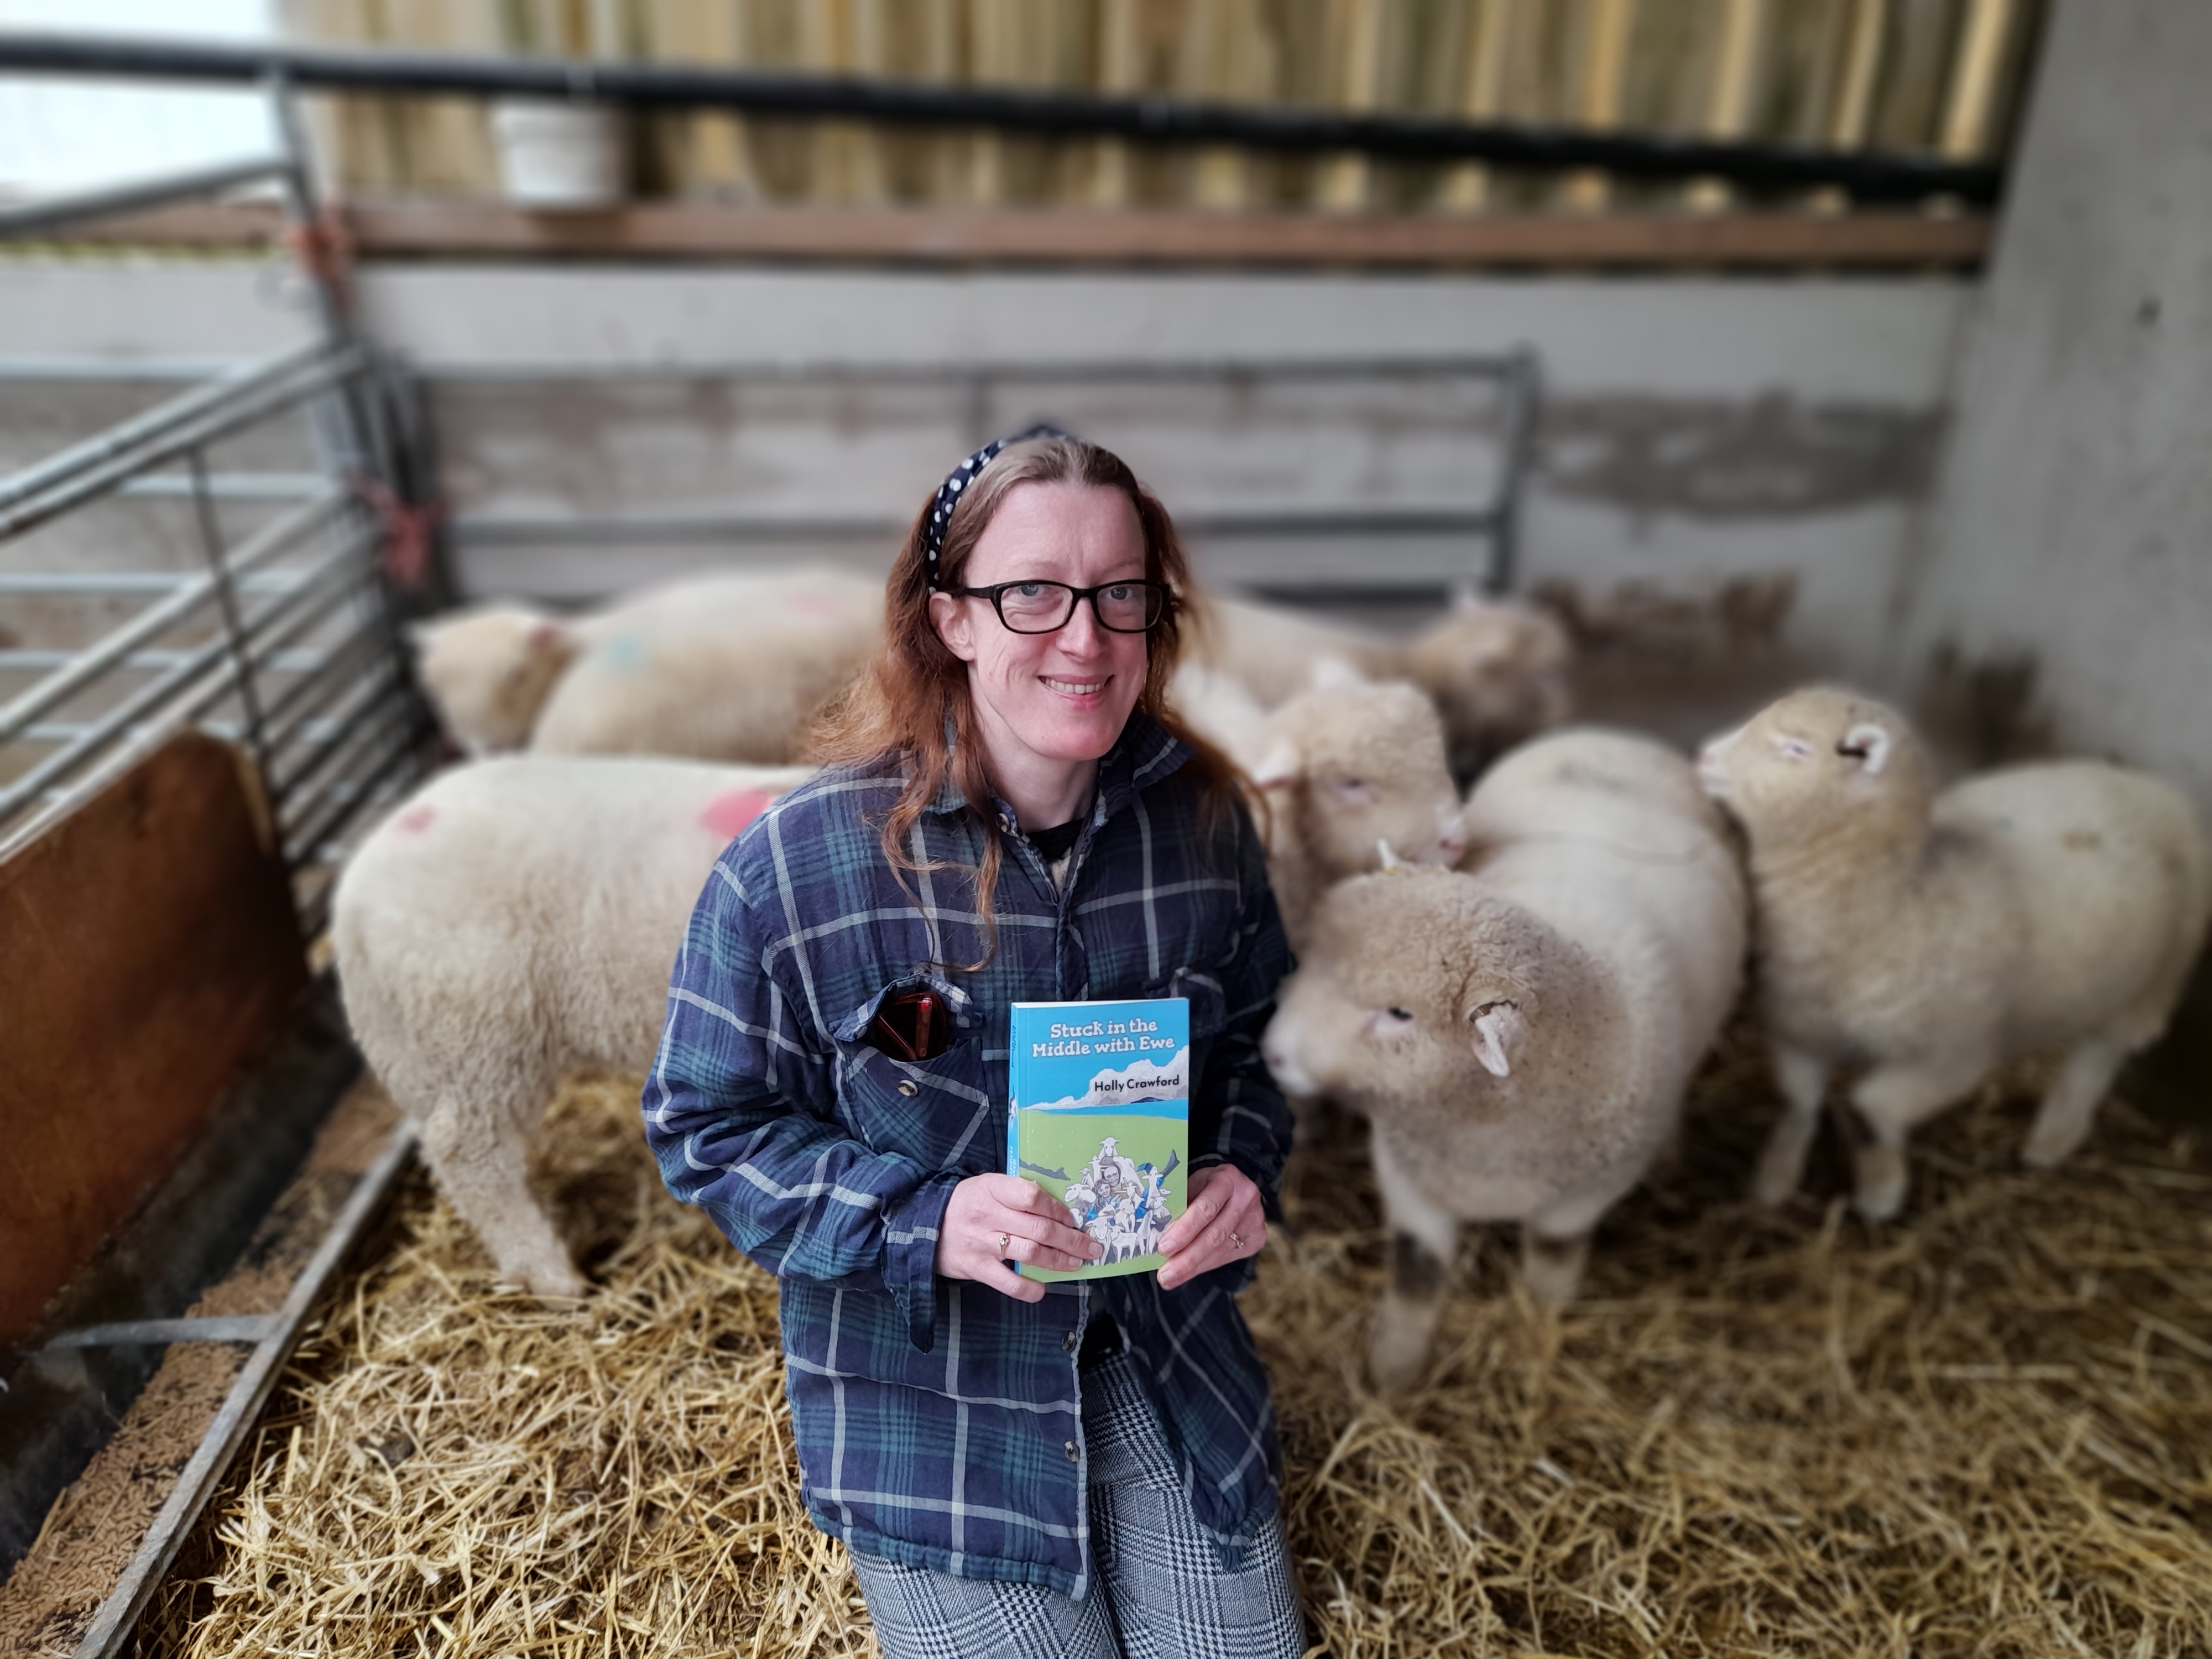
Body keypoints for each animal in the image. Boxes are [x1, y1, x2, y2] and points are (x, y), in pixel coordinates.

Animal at [1265, 726, 1743, 1389]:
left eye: (1400, 1015)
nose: (1273, 1054)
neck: (1478, 1131)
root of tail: (1609, 737)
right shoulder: (1411, 1182)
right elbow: (1415, 1278)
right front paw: (1393, 1374)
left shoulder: (1583, 1197)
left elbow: (1551, 1262)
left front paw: (1540, 1325)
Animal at [1699, 686, 2203, 1221]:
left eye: (1795, 749)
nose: (1704, 755)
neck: (1900, 899)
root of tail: (2150, 783)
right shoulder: (1798, 1031)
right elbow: (1797, 1106)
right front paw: (1773, 1182)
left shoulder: (1949, 1055)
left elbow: (1871, 1108)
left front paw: (1880, 1194)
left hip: (2160, 975)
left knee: (2099, 1056)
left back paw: (2050, 1142)